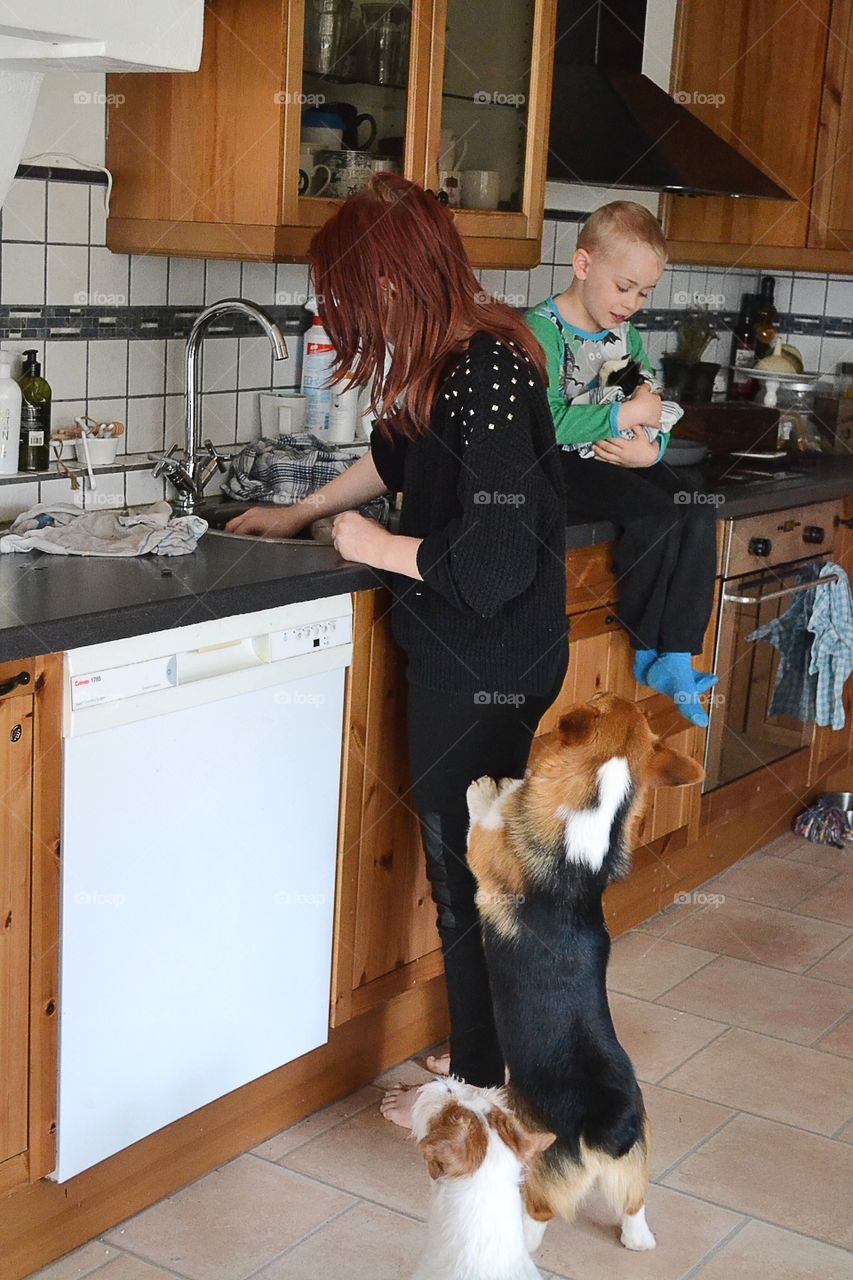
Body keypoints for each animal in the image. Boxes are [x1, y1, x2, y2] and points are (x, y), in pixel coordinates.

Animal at [466, 696, 701, 1254]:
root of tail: (602, 1126)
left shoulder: (484, 857)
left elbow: (482, 823)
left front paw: (487, 789)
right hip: (637, 1161)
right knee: (635, 1207)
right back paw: (639, 1241)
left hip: (545, 1167)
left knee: (542, 1211)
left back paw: (524, 1238)